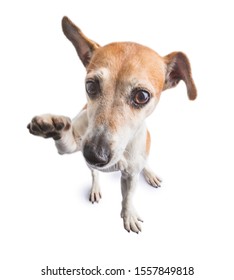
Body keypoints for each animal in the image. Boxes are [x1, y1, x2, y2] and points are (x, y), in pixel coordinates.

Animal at [26, 16, 197, 233]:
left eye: (142, 96)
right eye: (90, 85)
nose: (94, 155)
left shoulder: (130, 175)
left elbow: (128, 196)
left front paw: (129, 214)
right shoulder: (75, 145)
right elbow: (67, 142)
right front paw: (54, 126)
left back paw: (149, 173)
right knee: (94, 174)